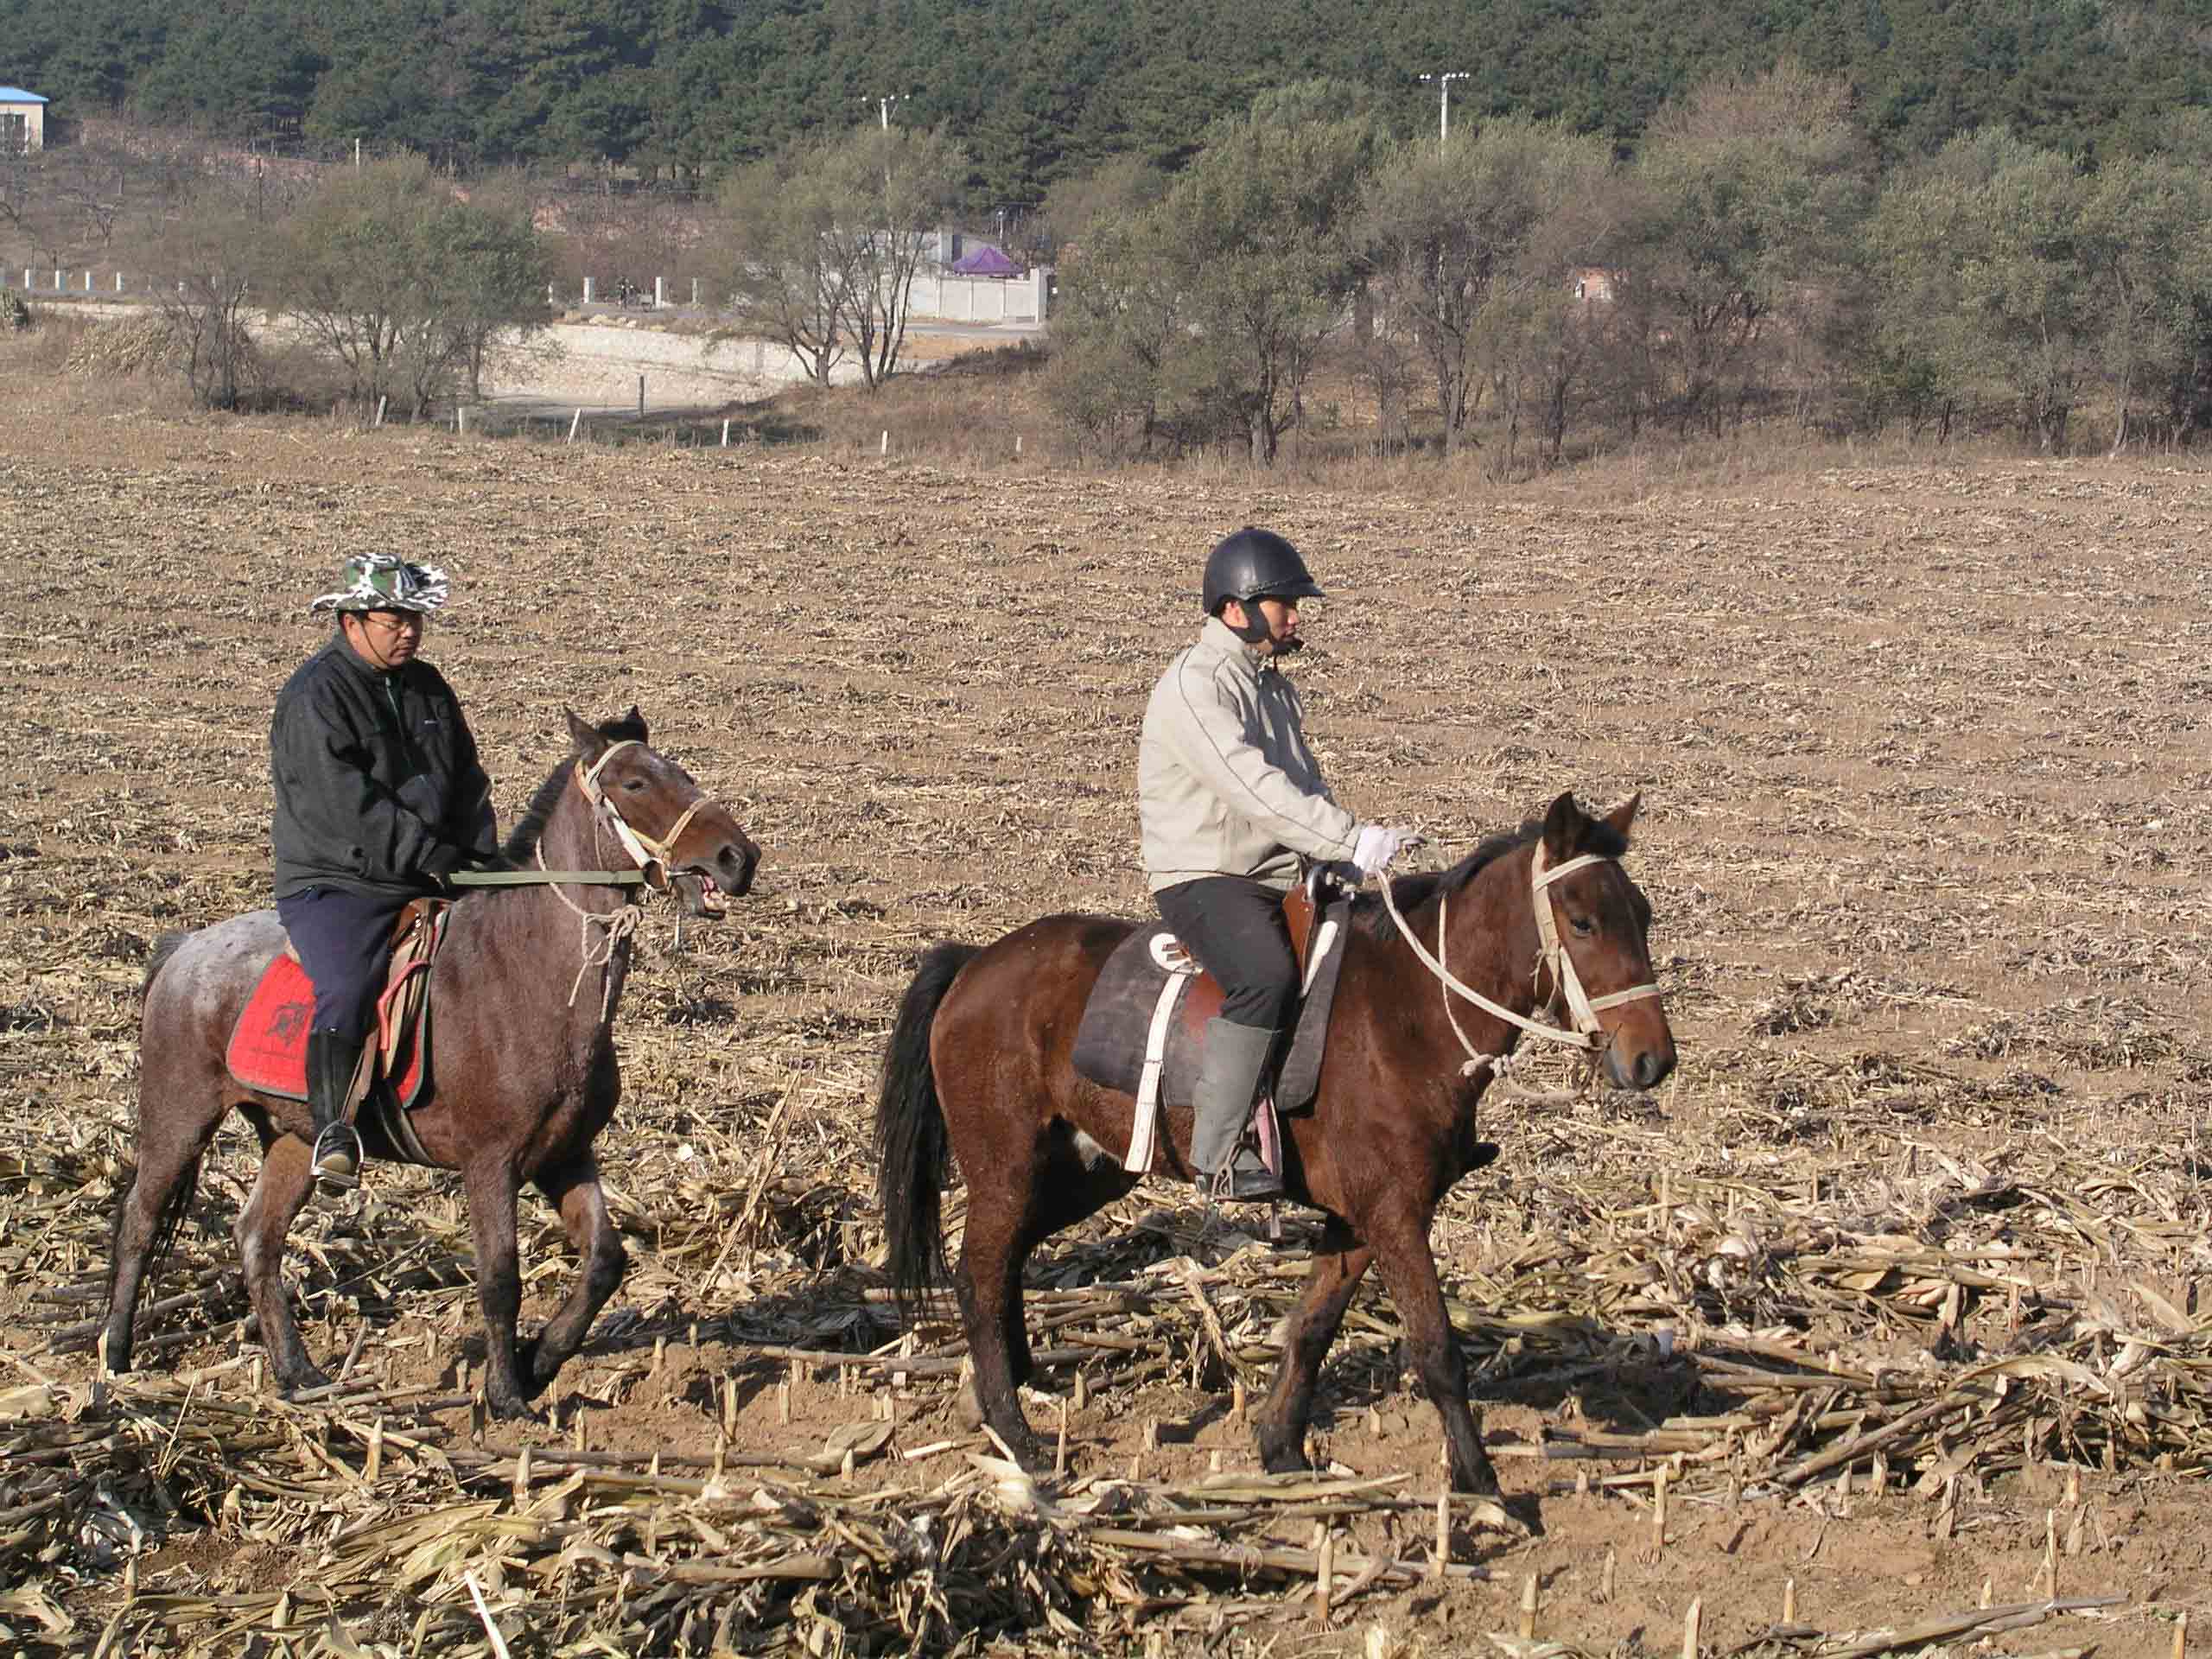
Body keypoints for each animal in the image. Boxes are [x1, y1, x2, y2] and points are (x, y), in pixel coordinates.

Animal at [104, 708, 760, 1424]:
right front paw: (507, 1395)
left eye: (682, 772)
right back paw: (115, 1360)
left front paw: (540, 1360)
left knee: (257, 1238)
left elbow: (605, 1262)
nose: (737, 858)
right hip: (179, 1119)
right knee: (139, 1222)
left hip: (294, 1139)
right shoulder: (490, 1164)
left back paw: (298, 1373)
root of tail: (184, 949)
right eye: (635, 782)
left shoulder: (566, 1155)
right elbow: (500, 1279)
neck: (528, 972)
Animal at [871, 791, 1663, 1495]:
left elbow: (1311, 1327)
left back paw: (998, 1393)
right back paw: (1018, 1434)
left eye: (1643, 915)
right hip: (1005, 1170)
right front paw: (1480, 1482)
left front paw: (1281, 1446)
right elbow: (1437, 1348)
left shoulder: (1357, 1221)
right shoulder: (1396, 1215)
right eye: (1583, 921)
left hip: (1083, 1172)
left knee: (1006, 1266)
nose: (1652, 1059)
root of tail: (977, 963)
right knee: (978, 1275)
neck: (1408, 1015)